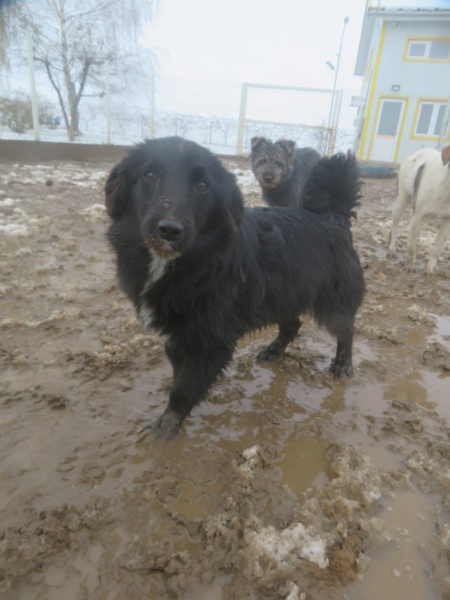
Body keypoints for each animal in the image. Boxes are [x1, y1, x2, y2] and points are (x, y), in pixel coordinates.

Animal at [105, 136, 366, 438]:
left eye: (203, 185)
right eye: (149, 175)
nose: (169, 230)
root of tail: (332, 214)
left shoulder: (213, 340)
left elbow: (185, 387)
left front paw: (168, 422)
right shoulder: (179, 333)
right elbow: (178, 370)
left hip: (332, 300)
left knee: (346, 330)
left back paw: (342, 364)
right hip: (281, 294)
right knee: (292, 325)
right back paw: (274, 350)